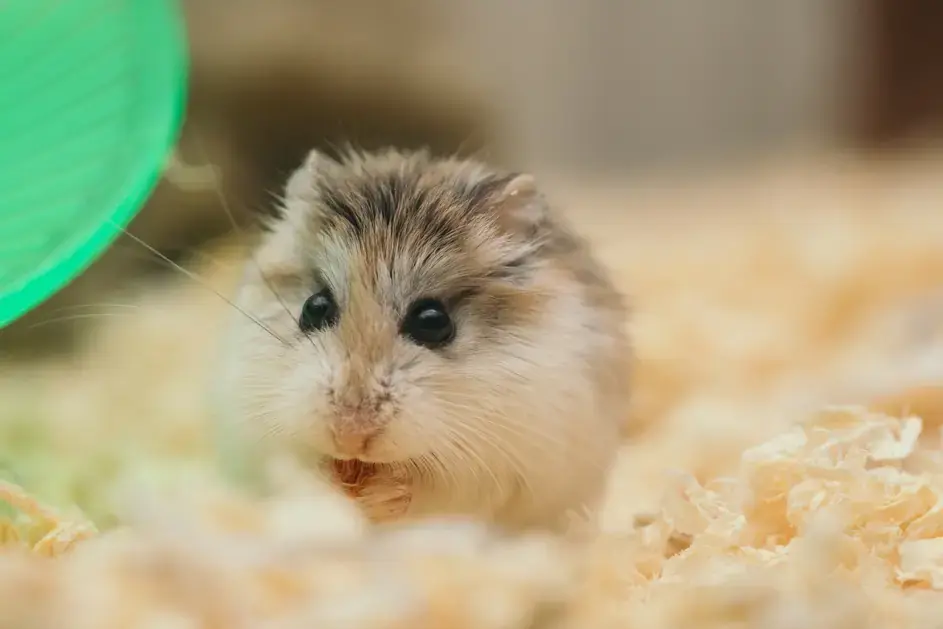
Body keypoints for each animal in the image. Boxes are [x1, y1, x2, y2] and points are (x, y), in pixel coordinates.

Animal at [214, 148, 632, 533]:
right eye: (314, 308)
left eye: (433, 322)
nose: (350, 436)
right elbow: (292, 469)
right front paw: (333, 484)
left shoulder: (498, 468)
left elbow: (430, 491)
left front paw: (377, 496)